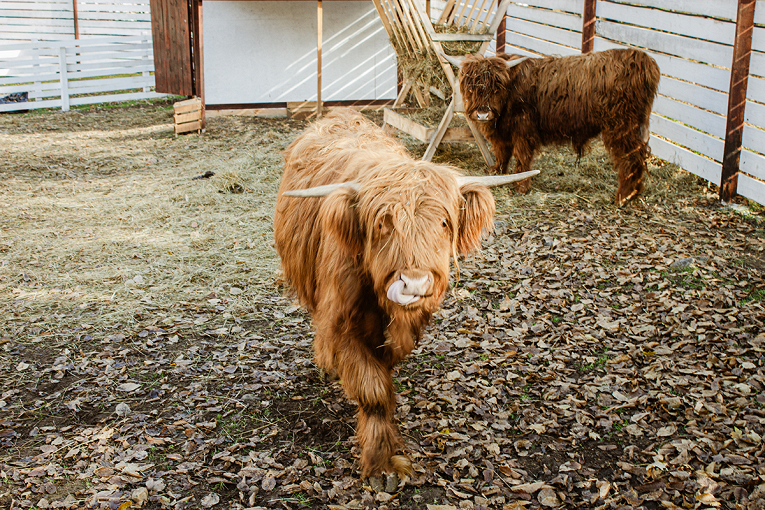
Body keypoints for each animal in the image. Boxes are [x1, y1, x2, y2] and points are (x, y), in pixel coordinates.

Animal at [274, 109, 536, 484]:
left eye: (444, 222)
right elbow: (373, 391)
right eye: (383, 223)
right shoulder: (341, 323)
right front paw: (381, 462)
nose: (414, 283)